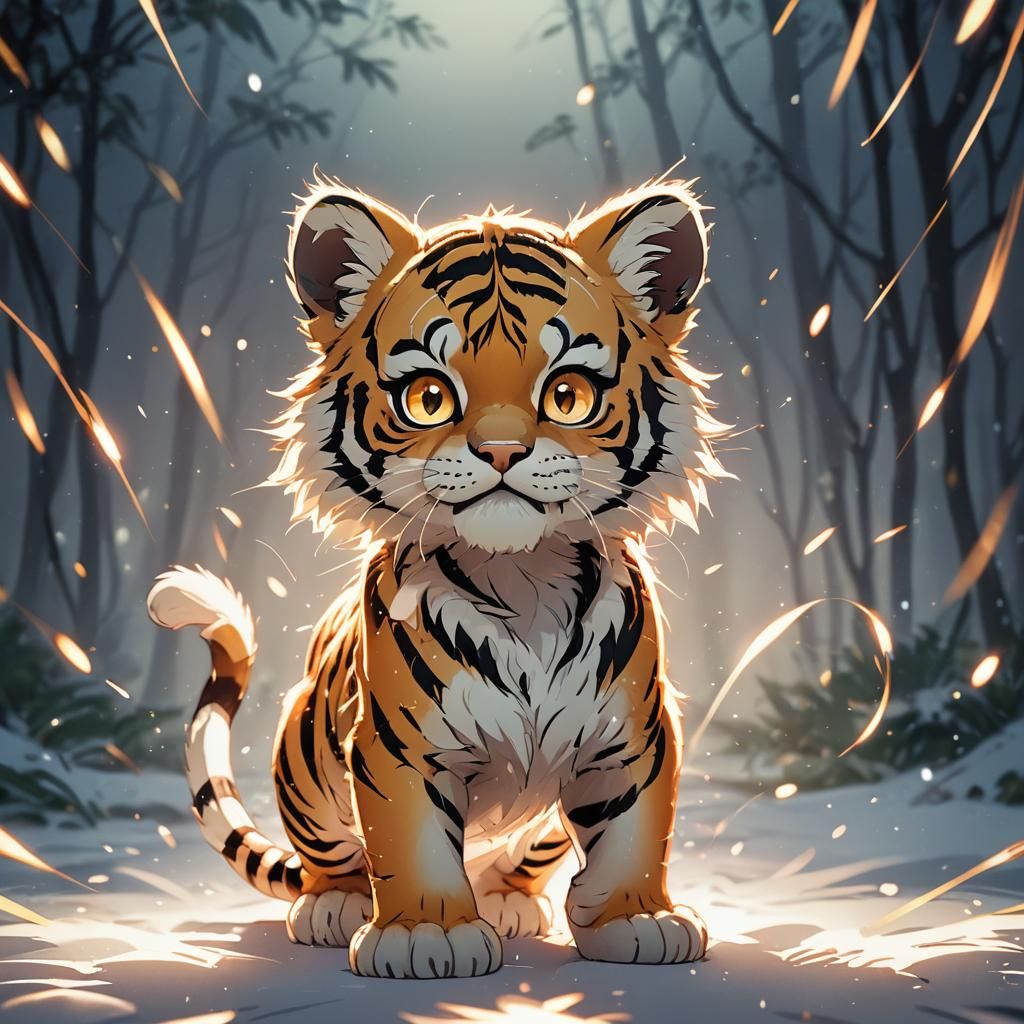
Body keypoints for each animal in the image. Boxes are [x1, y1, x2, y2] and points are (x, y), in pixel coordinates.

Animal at [146, 172, 733, 980]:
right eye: (429, 397)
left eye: (568, 395)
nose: (501, 451)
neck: (525, 576)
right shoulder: (395, 744)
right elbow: (412, 838)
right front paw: (427, 935)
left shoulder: (635, 737)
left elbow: (634, 831)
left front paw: (637, 920)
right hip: (301, 746)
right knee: (328, 859)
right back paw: (335, 906)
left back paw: (513, 902)